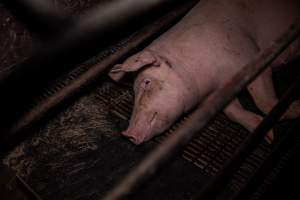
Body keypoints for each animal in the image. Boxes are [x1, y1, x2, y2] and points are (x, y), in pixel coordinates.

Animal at [108, 0, 300, 145]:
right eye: (133, 90)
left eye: (147, 82)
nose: (127, 134)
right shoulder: (216, 95)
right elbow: (232, 112)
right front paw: (267, 135)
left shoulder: (251, 56)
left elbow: (264, 101)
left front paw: (291, 115)